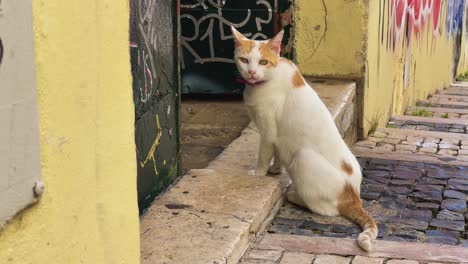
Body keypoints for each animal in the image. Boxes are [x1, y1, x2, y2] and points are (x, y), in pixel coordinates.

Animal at [232, 26, 378, 252]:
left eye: (263, 62)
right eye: (244, 60)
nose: (252, 72)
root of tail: (353, 194)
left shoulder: (268, 132)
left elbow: (263, 157)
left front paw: (258, 175)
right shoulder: (278, 135)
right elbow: (277, 154)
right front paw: (275, 170)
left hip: (303, 158)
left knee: (326, 209)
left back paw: (294, 195)